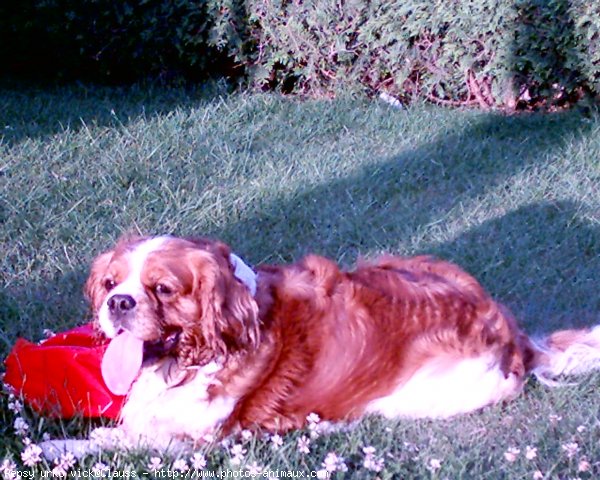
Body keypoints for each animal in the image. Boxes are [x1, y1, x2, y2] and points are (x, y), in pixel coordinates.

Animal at [52, 236, 600, 454]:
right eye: (110, 284)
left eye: (163, 289)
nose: (119, 303)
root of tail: (511, 332)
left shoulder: (195, 441)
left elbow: (108, 443)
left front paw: (54, 449)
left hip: (418, 398)